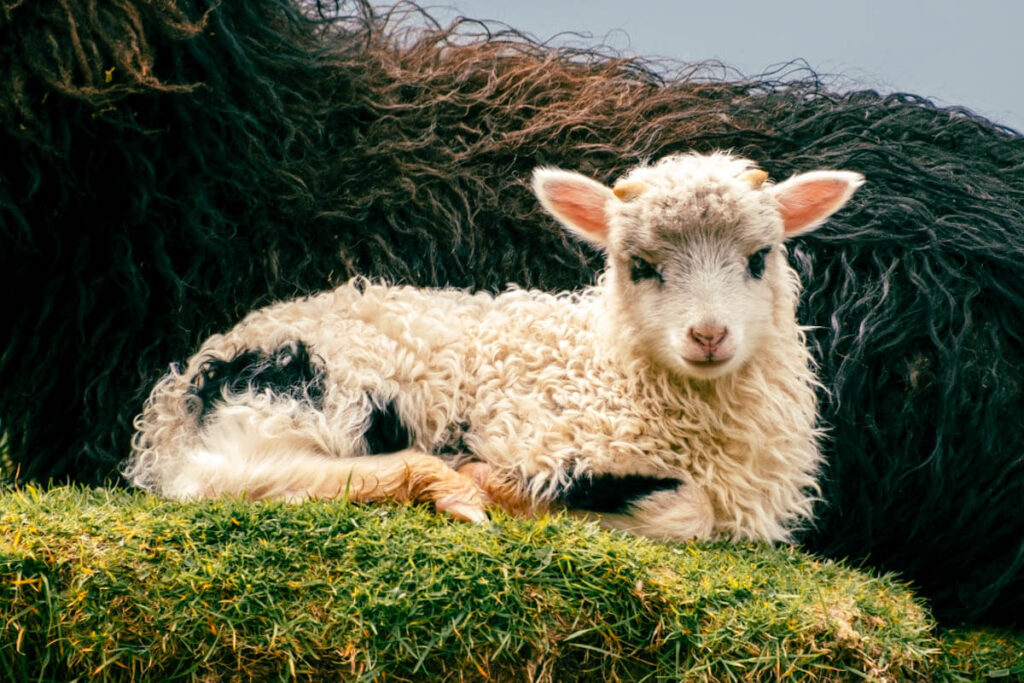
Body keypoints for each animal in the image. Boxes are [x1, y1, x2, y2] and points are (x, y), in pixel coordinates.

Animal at [121, 152, 864, 540]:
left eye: (759, 258)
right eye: (641, 265)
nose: (708, 335)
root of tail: (169, 407)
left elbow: (693, 513)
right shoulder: (543, 435)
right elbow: (686, 512)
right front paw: (509, 490)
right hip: (314, 389)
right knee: (226, 477)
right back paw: (446, 484)